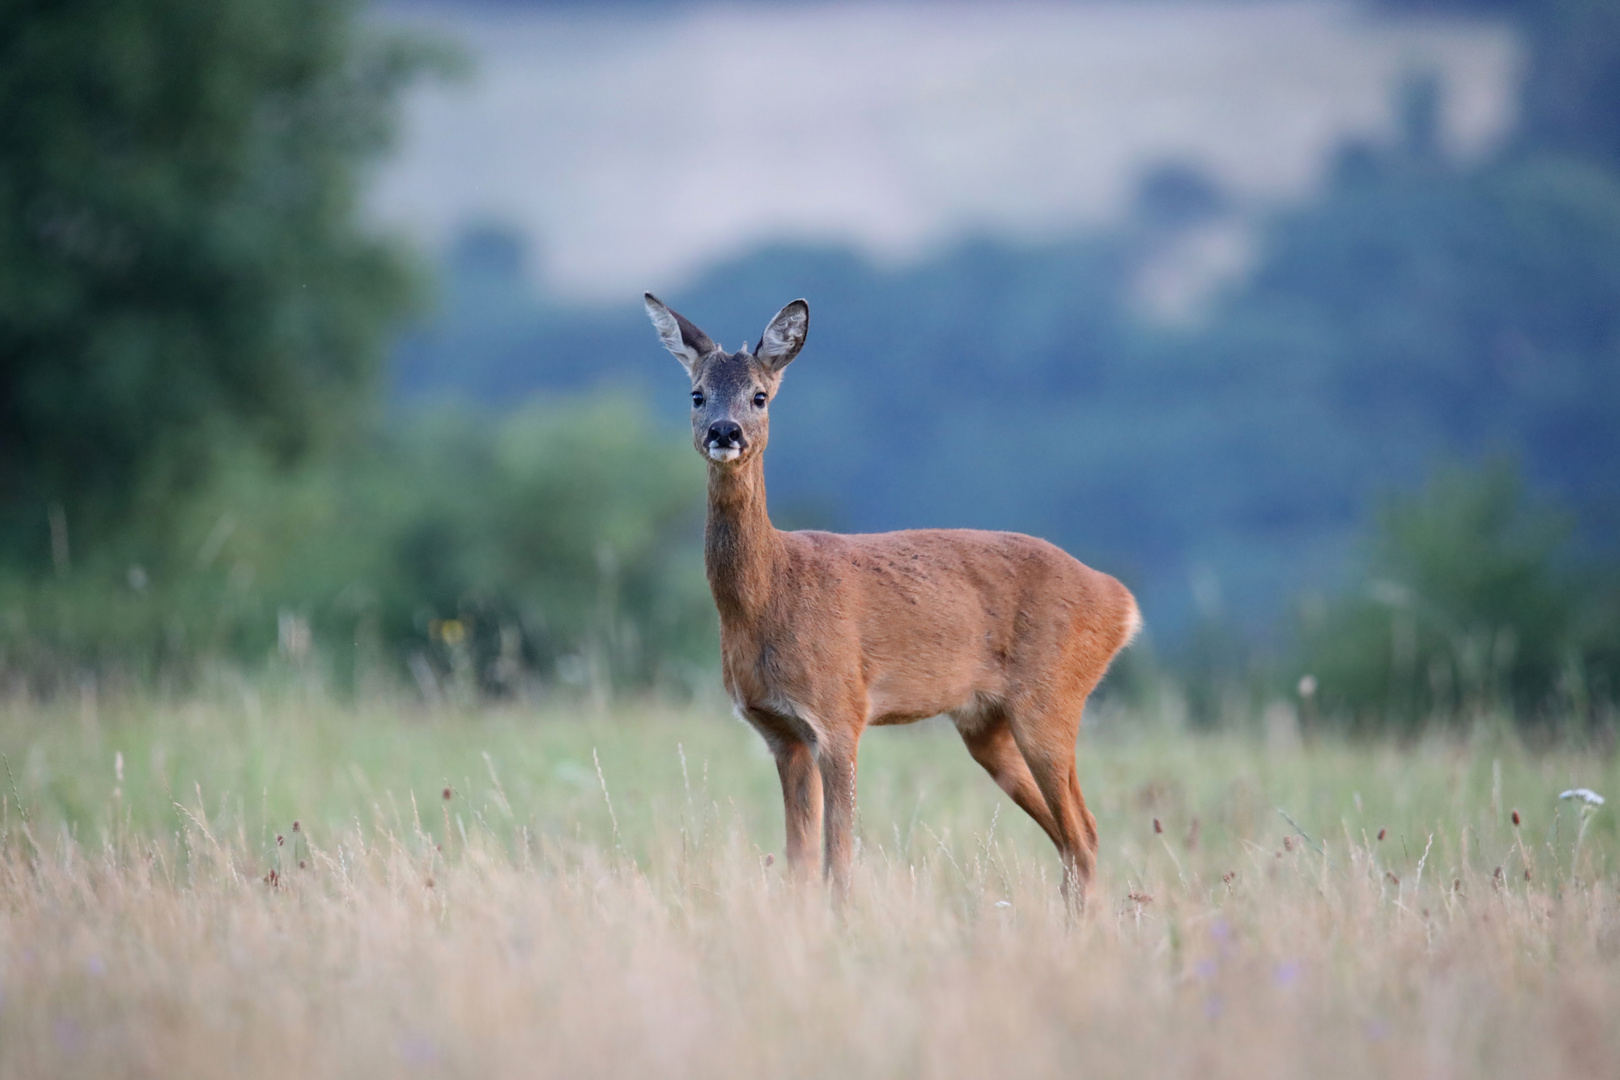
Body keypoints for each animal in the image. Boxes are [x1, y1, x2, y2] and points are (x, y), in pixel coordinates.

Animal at [644, 291, 1140, 900]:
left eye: (760, 395)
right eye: (697, 394)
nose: (724, 430)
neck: (769, 596)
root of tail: (1121, 602)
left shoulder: (840, 712)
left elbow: (838, 858)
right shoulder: (780, 732)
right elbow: (799, 861)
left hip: (1050, 699)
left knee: (1084, 832)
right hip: (987, 725)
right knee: (1072, 837)